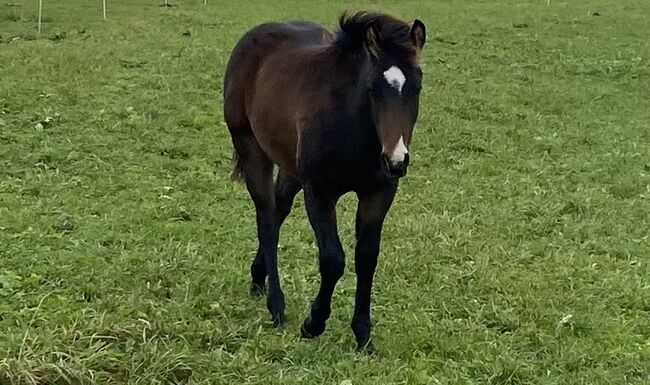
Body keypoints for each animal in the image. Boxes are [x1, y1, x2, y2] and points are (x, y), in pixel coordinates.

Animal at [223, 10, 426, 352]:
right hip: (250, 146)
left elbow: (366, 258)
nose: (396, 160)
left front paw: (363, 335)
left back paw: (258, 277)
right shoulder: (319, 191)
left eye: (418, 88)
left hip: (291, 166)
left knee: (278, 210)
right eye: (372, 88)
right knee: (266, 216)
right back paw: (276, 306)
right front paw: (313, 323)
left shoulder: (379, 192)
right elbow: (333, 259)